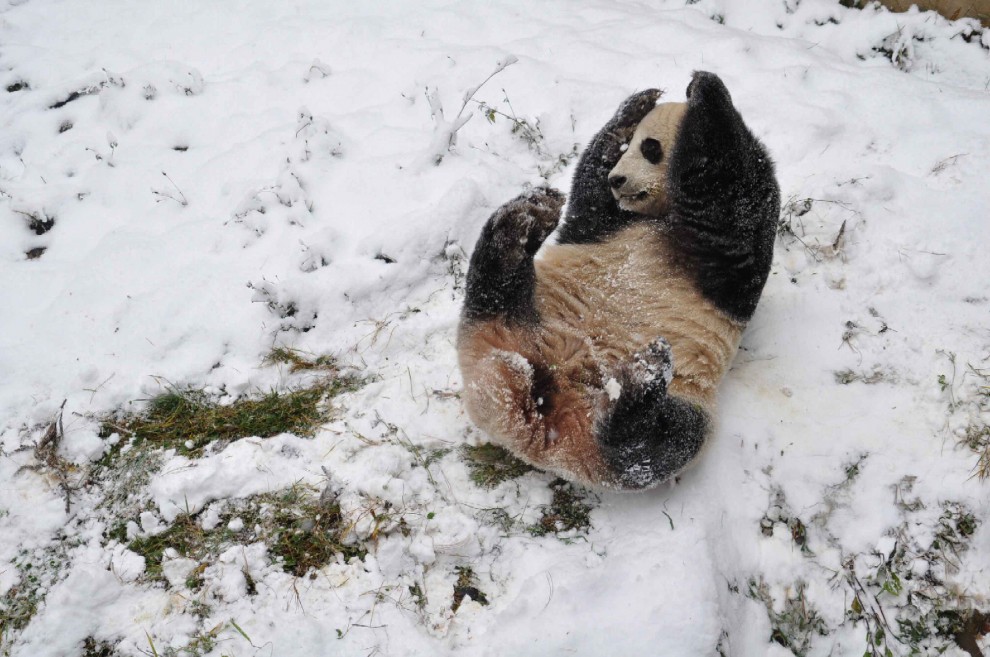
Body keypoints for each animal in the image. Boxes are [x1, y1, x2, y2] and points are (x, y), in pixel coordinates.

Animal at [457, 71, 780, 491]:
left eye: (650, 148)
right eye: (632, 146)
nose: (619, 179)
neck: (657, 217)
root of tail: (532, 416)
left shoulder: (730, 254)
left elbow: (735, 195)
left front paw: (703, 91)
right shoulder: (605, 225)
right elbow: (590, 185)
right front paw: (638, 105)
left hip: (688, 399)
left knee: (657, 444)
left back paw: (640, 380)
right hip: (528, 314)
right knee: (493, 287)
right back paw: (523, 220)